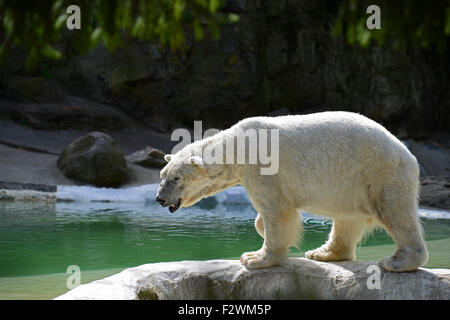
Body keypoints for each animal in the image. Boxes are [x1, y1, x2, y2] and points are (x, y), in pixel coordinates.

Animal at [156, 111, 428, 272]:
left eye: (176, 178)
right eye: (162, 176)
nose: (160, 199)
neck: (237, 145)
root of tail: (409, 155)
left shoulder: (262, 166)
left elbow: (277, 211)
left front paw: (254, 258)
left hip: (379, 172)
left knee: (395, 212)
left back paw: (397, 261)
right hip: (353, 184)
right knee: (347, 218)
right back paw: (324, 252)